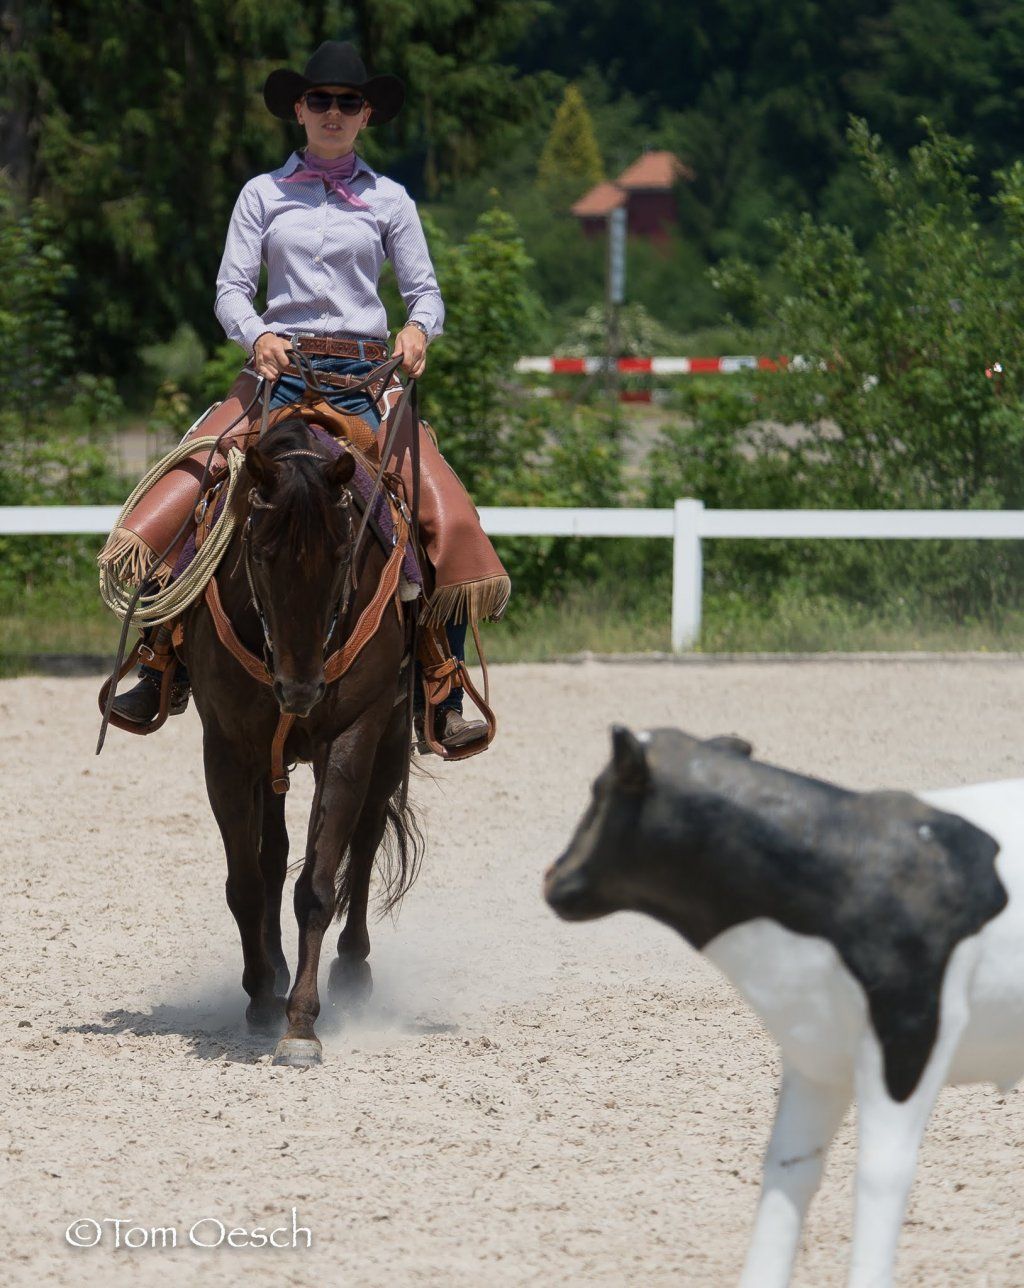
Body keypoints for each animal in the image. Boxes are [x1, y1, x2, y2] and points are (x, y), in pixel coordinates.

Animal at [180, 413, 423, 1067]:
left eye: (343, 555)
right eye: (260, 556)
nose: (302, 689)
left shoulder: (352, 737)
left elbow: (317, 884)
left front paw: (301, 1024)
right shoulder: (228, 749)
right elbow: (245, 882)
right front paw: (263, 999)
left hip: (389, 742)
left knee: (363, 845)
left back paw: (353, 971)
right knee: (270, 855)